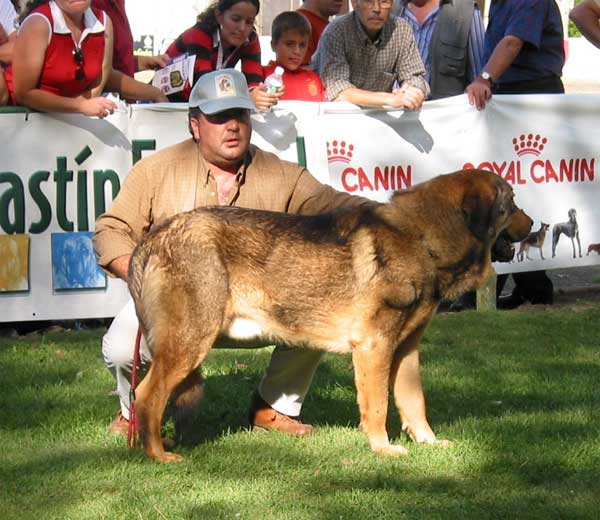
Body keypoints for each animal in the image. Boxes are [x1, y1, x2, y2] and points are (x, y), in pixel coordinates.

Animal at [126, 171, 528, 464]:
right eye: (512, 203)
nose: (534, 223)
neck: (422, 238)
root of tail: (155, 237)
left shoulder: (406, 350)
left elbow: (415, 403)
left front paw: (428, 442)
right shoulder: (374, 348)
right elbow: (378, 406)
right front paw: (382, 448)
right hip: (189, 344)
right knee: (146, 396)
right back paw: (158, 455)